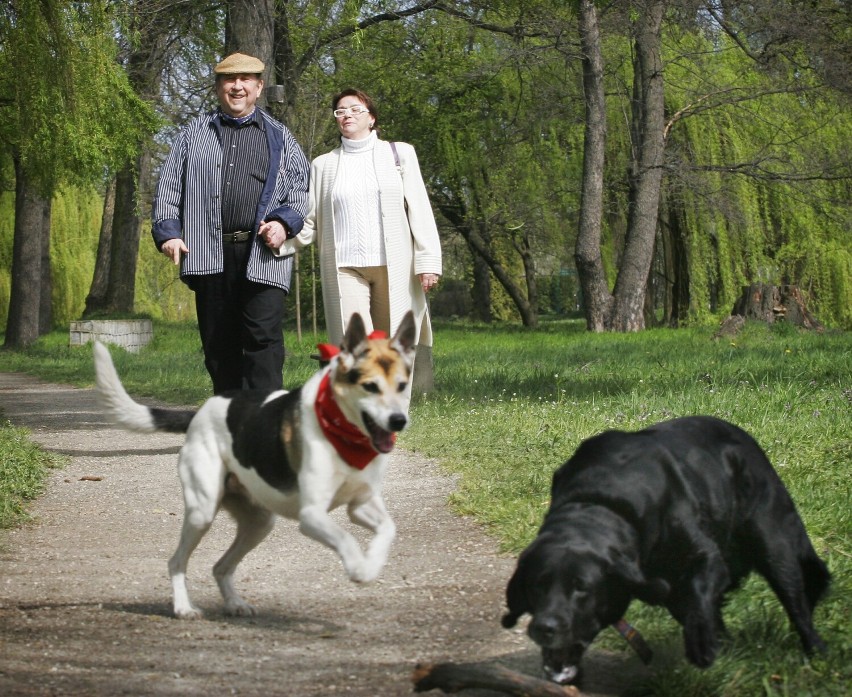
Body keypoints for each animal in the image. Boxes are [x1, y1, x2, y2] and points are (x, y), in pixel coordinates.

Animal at [94, 312, 420, 616]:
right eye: (370, 386)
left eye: (402, 385)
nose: (398, 421)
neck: (344, 432)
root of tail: (200, 412)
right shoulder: (312, 514)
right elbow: (347, 539)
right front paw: (358, 568)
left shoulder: (360, 505)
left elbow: (388, 528)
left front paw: (372, 564)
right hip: (202, 511)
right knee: (176, 561)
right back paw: (184, 607)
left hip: (259, 522)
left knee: (220, 566)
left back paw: (234, 603)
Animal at [502, 416, 828, 684]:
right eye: (537, 585)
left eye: (582, 588)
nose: (545, 627)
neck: (601, 501)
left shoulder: (707, 558)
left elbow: (699, 598)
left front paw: (701, 642)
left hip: (774, 545)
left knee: (797, 602)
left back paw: (818, 658)